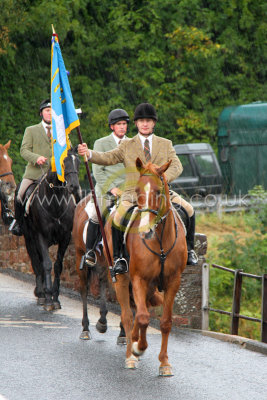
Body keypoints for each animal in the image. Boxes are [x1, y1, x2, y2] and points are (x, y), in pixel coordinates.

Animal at [22, 148, 80, 310]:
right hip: (29, 239)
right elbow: (46, 264)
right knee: (36, 262)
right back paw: (41, 293)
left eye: (78, 162)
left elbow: (58, 265)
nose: (74, 187)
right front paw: (47, 298)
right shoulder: (40, 236)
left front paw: (55, 298)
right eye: (63, 162)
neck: (55, 202)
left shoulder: (65, 237)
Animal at [103, 158, 187, 376]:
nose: (145, 231)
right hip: (122, 279)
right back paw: (130, 355)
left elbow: (165, 322)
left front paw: (164, 363)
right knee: (127, 316)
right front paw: (137, 348)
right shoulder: (138, 279)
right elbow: (141, 318)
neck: (160, 241)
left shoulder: (173, 281)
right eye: (137, 190)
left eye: (158, 191)